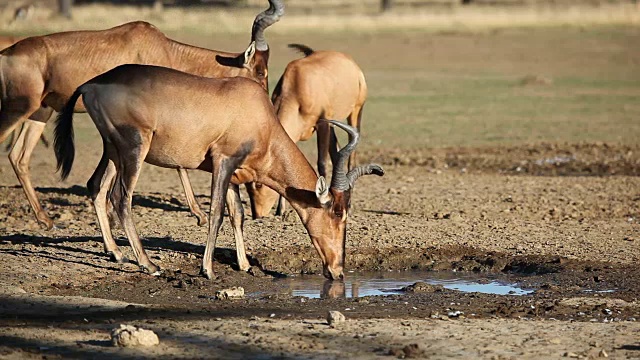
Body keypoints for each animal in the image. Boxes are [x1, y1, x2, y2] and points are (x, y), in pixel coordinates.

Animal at [0, 0, 282, 231]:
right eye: (260, 71)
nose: (263, 103)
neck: (163, 48)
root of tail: (6, 53)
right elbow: (178, 163)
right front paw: (199, 214)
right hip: (18, 108)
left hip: (41, 111)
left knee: (19, 157)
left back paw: (46, 220)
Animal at [53, 64, 380, 278]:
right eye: (338, 213)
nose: (337, 271)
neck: (255, 111)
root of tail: (92, 84)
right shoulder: (223, 161)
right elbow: (217, 213)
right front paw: (208, 269)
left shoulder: (234, 172)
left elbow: (238, 214)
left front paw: (245, 264)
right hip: (134, 148)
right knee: (121, 197)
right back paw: (149, 264)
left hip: (112, 149)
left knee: (96, 186)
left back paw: (117, 253)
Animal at [250, 45, 370, 219]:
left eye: (259, 185)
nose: (257, 215)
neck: (298, 83)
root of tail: (351, 62)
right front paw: (281, 211)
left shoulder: (323, 124)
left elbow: (321, 163)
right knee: (336, 153)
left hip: (355, 112)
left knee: (351, 155)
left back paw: (349, 203)